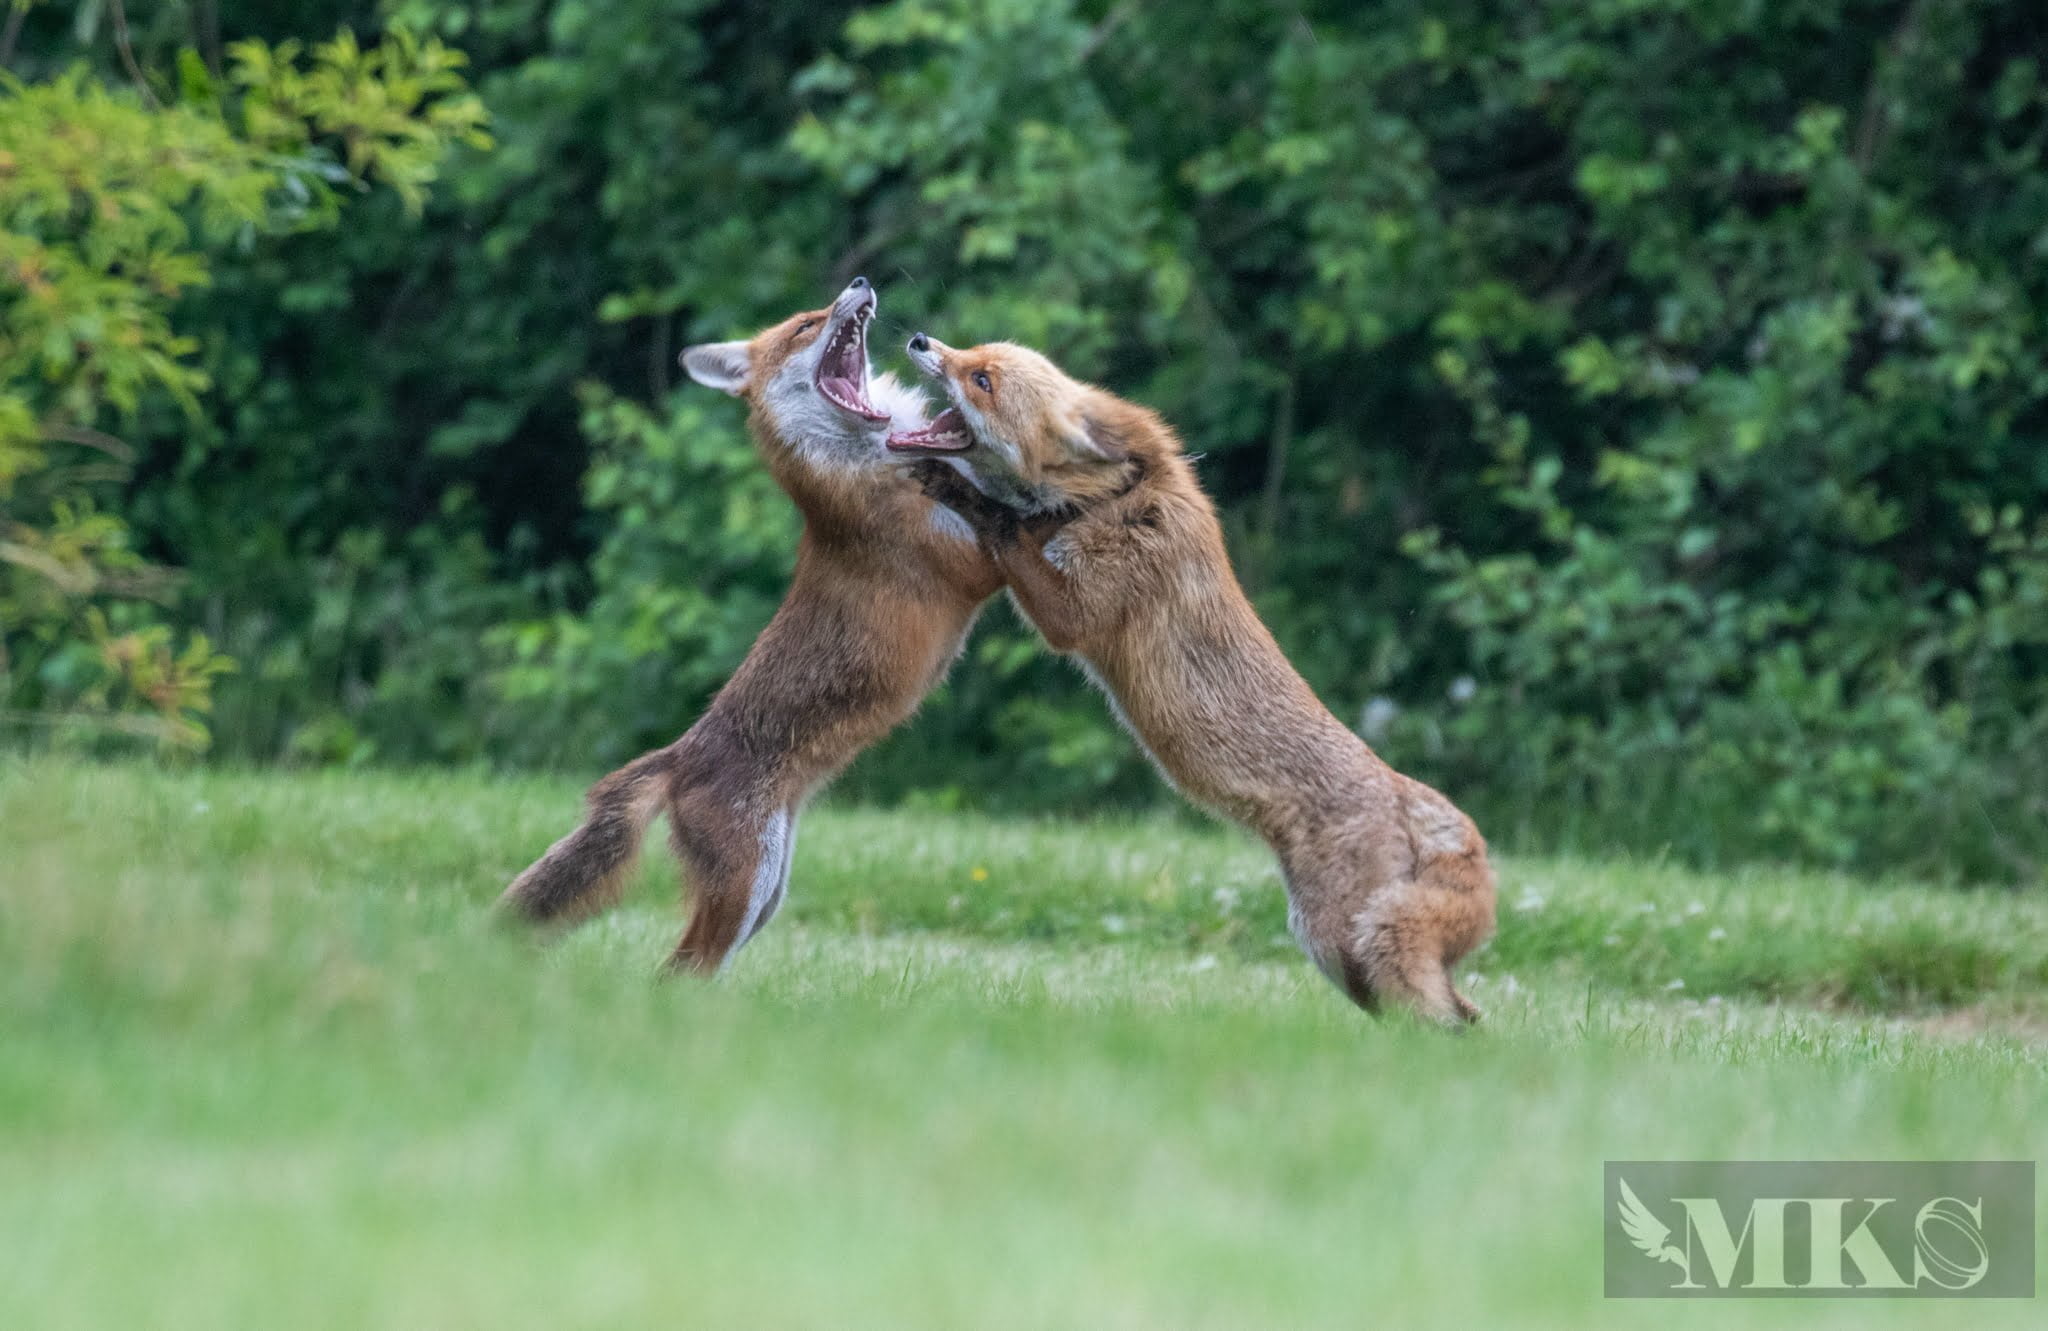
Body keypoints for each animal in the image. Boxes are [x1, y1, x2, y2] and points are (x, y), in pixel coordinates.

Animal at [497, 280, 1000, 973]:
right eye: (806, 325)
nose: (860, 284)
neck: (863, 463)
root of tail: (678, 757)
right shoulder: (971, 563)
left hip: (766, 895)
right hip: (746, 887)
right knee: (679, 969)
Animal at [887, 334, 1497, 1025]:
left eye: (982, 379)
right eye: (972, 353)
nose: (920, 340)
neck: (1112, 500)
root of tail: (1411, 797)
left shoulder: (1076, 612)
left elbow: (1004, 529)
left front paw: (958, 491)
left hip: (1343, 940)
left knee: (1445, 1017)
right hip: (1339, 954)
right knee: (1457, 1014)